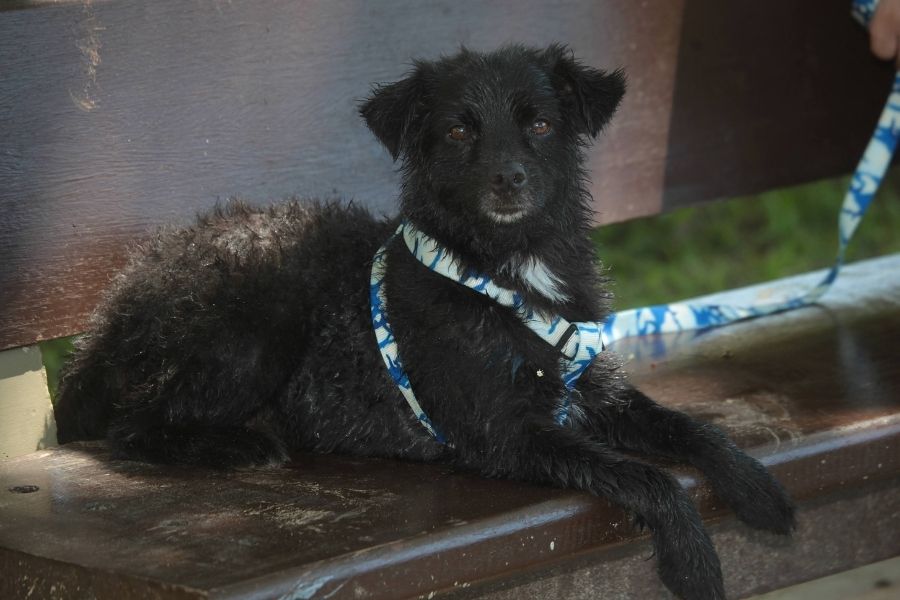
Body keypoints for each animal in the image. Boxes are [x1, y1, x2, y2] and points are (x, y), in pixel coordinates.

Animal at [54, 44, 796, 596]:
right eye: (460, 129)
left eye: (541, 124)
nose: (509, 178)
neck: (502, 270)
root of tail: (113, 309)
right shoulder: (506, 435)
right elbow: (647, 476)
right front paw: (694, 560)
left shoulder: (594, 390)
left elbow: (691, 428)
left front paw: (757, 488)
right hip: (255, 321)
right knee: (131, 429)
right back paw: (235, 444)